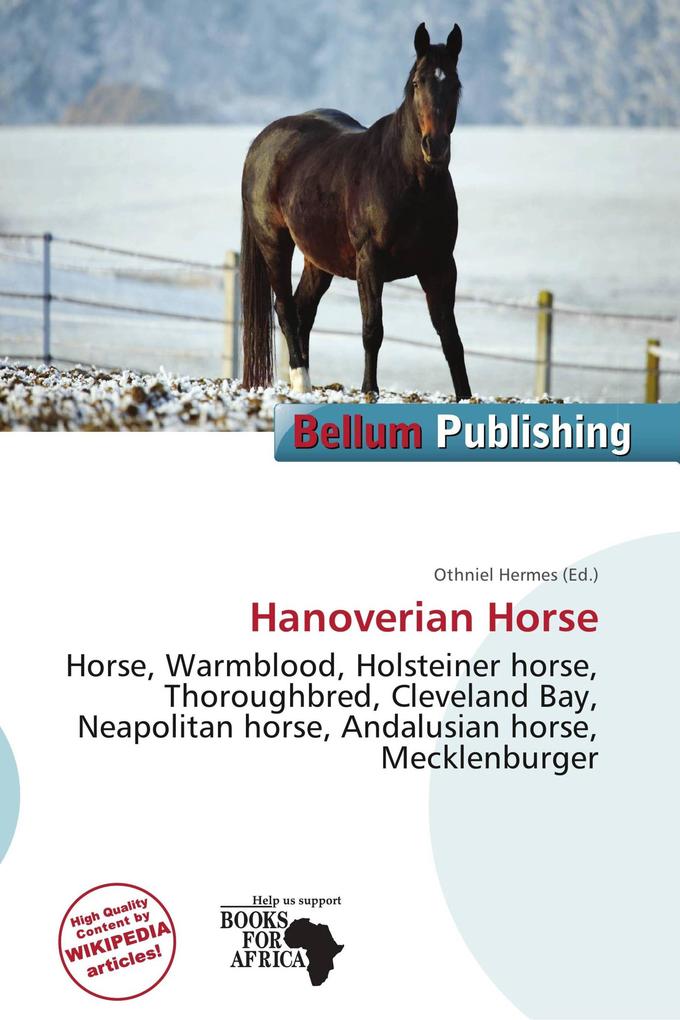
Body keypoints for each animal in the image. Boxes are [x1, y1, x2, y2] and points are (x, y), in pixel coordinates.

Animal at [240, 21, 472, 400]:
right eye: (417, 82)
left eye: (454, 84)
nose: (435, 147)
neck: (407, 178)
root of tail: (261, 142)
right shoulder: (370, 263)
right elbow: (372, 329)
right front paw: (369, 390)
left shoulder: (439, 265)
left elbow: (450, 337)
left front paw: (466, 395)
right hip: (274, 245)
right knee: (286, 308)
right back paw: (301, 380)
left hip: (318, 259)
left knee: (304, 308)